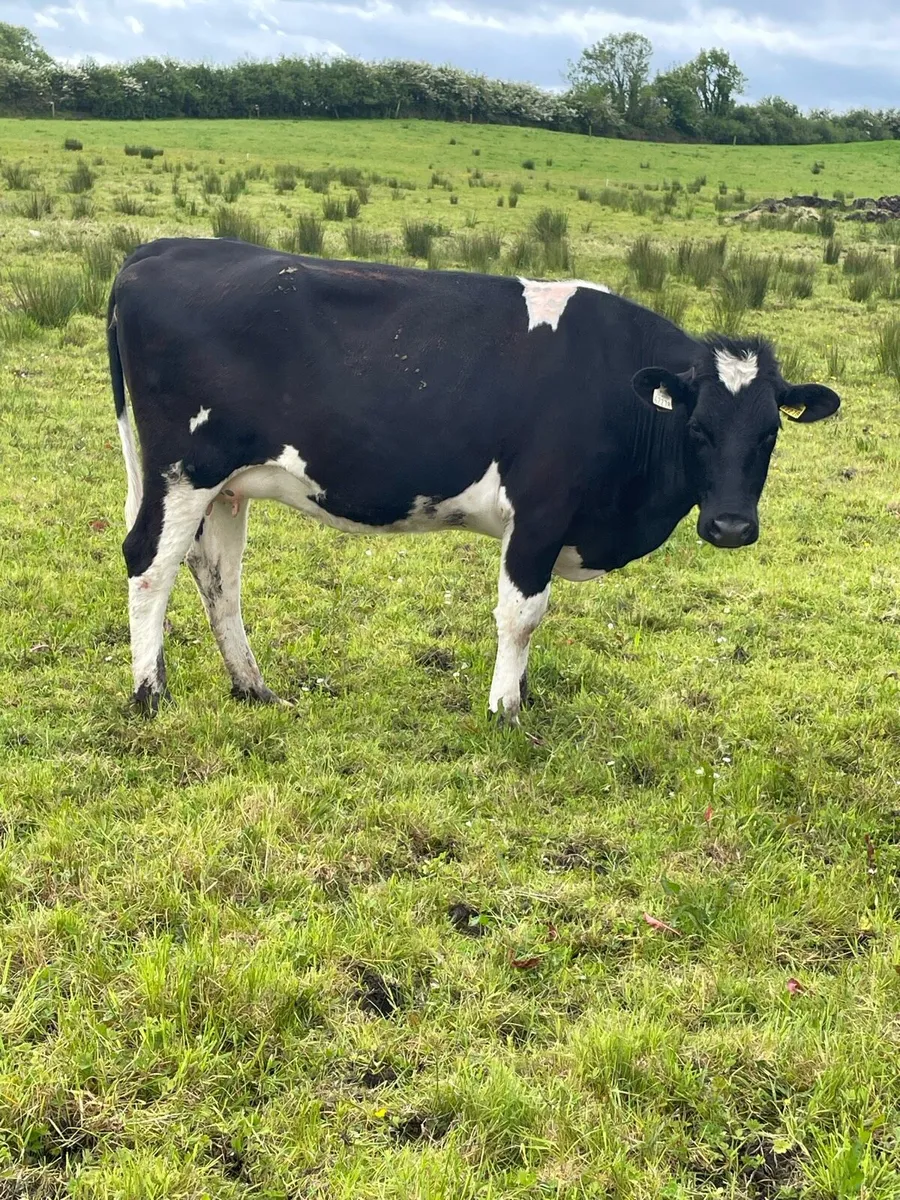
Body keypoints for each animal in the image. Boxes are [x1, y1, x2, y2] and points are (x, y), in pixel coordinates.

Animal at [108, 238, 840, 721]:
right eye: (697, 429)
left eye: (769, 433)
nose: (731, 526)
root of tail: (163, 248)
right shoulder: (540, 510)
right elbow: (522, 614)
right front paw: (505, 710)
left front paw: (519, 697)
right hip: (182, 468)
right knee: (149, 564)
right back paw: (150, 695)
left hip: (227, 484)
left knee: (216, 577)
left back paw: (253, 688)